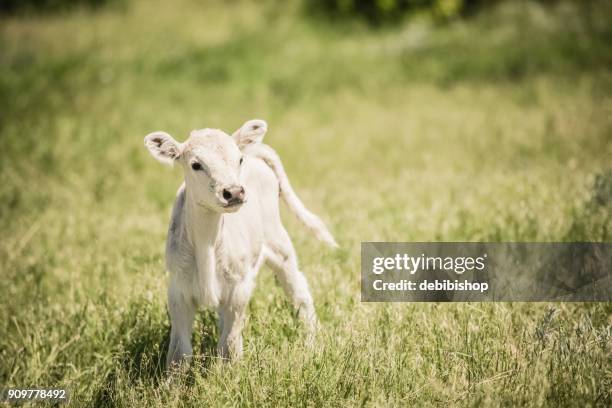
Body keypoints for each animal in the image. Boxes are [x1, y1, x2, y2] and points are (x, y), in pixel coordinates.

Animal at [143, 119, 338, 364]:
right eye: (196, 165)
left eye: (239, 160)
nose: (234, 192)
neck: (207, 242)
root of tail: (255, 154)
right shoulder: (178, 290)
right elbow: (180, 352)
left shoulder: (238, 289)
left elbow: (229, 346)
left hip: (279, 243)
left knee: (299, 291)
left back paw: (312, 340)